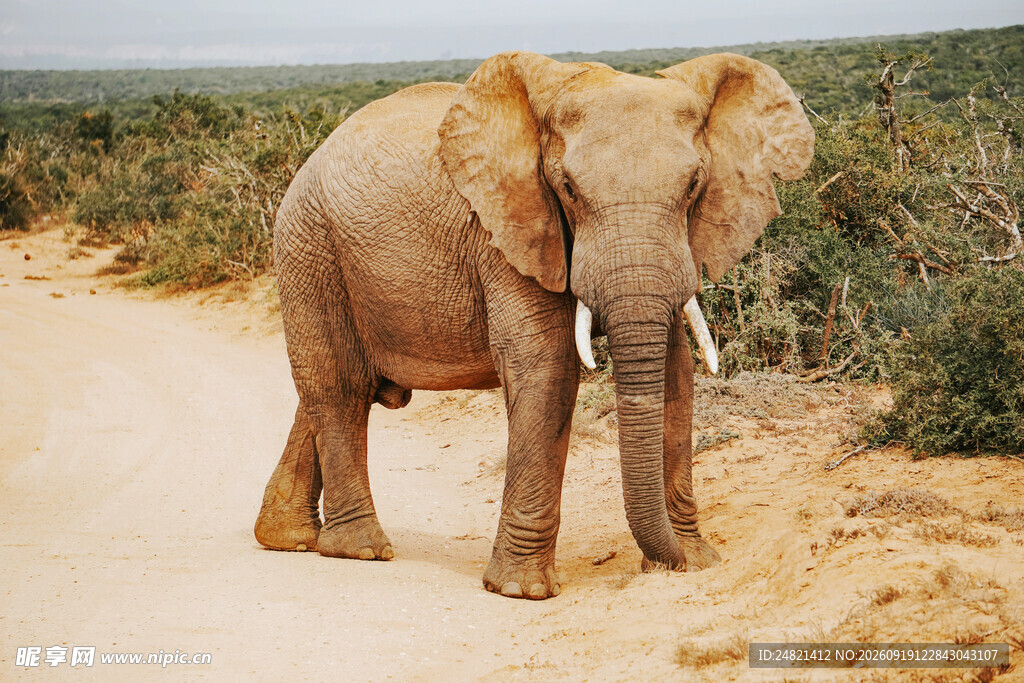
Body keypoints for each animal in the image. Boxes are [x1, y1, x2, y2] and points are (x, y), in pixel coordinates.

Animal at [253, 50, 814, 599]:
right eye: (567, 188)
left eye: (695, 185)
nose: (668, 562)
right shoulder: (508, 227)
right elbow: (547, 365)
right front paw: (520, 590)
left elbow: (676, 369)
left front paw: (695, 562)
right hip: (309, 245)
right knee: (339, 387)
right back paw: (360, 549)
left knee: (336, 391)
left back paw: (287, 538)